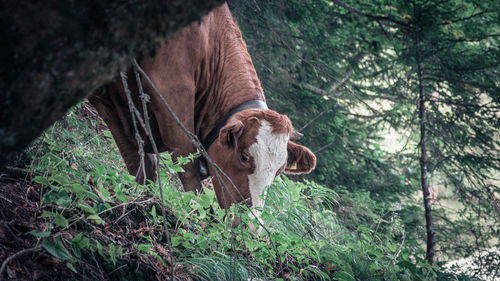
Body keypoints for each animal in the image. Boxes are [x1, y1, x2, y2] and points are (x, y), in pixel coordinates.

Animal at [89, 1, 316, 208]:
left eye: (279, 170)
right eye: (244, 157)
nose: (250, 223)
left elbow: (139, 163)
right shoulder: (171, 90)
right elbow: (186, 161)